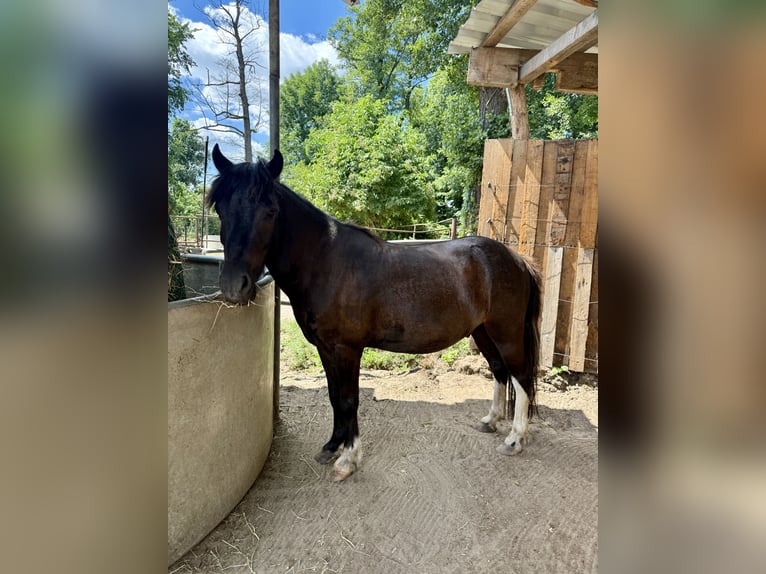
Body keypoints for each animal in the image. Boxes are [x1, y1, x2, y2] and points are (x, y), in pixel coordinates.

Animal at [207, 145, 542, 481]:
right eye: (220, 210)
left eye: (270, 211)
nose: (234, 286)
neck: (326, 264)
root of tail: (516, 259)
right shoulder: (325, 349)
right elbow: (334, 397)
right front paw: (331, 446)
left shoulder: (348, 349)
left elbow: (349, 399)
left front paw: (348, 459)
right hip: (483, 331)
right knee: (500, 371)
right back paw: (491, 421)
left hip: (507, 332)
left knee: (522, 376)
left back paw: (514, 439)